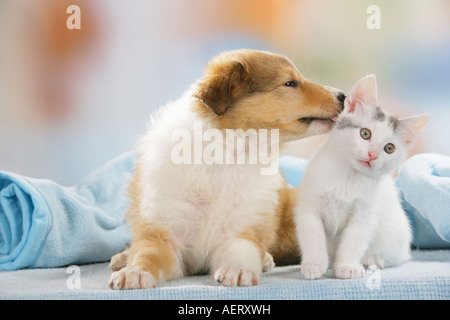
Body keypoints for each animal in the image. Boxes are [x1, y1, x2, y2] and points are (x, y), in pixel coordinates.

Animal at [109, 48, 344, 290]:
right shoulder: (163, 230)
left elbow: (239, 251)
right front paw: (135, 272)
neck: (228, 154)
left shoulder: (242, 228)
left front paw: (237, 271)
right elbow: (148, 253)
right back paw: (122, 259)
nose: (343, 96)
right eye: (289, 83)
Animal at [296, 74, 428, 278]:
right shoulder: (309, 205)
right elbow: (312, 235)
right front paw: (314, 264)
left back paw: (372, 260)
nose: (372, 155)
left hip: (396, 234)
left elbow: (354, 240)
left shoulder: (364, 213)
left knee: (395, 256)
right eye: (365, 133)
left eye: (389, 148)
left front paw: (347, 266)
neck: (347, 175)